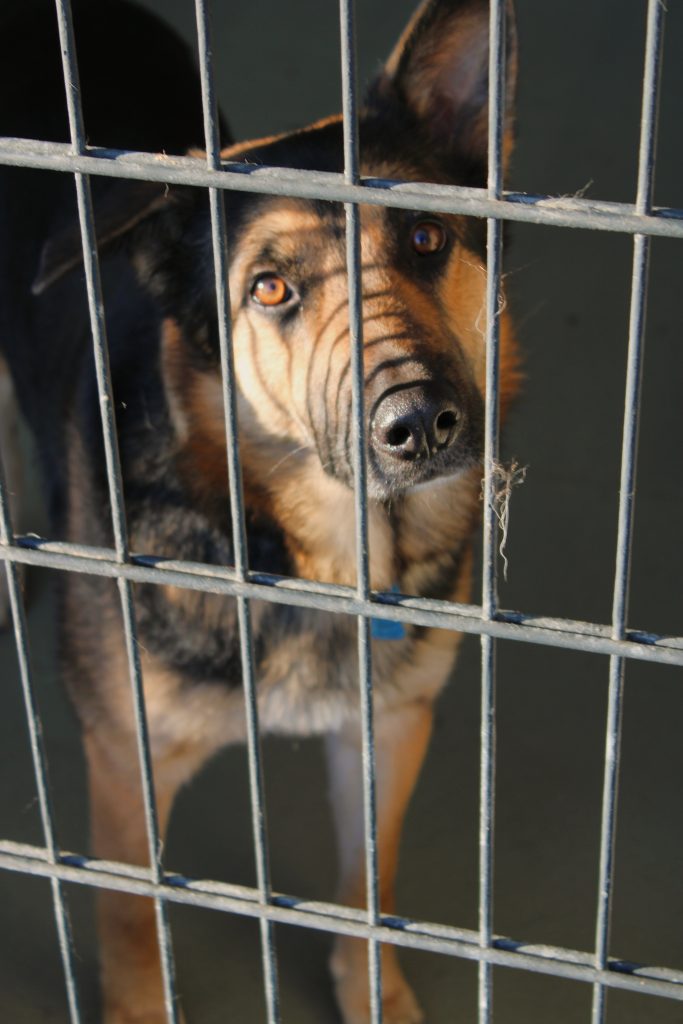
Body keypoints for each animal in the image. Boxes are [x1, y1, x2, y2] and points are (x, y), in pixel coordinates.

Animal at [0, 0, 519, 1021]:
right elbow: (132, 927)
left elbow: (370, 882)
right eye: (268, 289)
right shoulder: (125, 761)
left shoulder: (387, 726)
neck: (296, 552)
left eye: (426, 240)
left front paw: (371, 992)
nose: (418, 424)